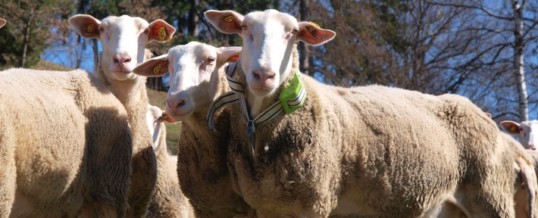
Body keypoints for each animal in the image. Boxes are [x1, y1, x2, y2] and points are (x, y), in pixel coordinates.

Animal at [203, 9, 532, 217]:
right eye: (244, 28)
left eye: (293, 33)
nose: (264, 75)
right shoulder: (265, 206)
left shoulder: (315, 202)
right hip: (454, 209)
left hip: (491, 198)